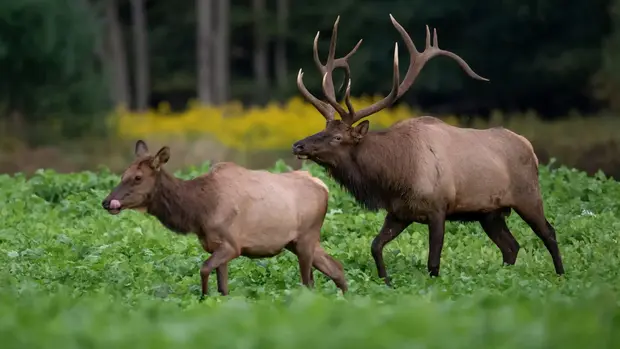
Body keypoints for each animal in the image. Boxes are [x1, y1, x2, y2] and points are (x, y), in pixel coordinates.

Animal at [99, 140, 346, 298]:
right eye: (122, 175)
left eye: (138, 177)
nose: (107, 202)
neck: (199, 211)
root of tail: (323, 186)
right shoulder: (216, 246)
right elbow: (223, 288)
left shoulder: (232, 245)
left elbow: (204, 269)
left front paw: (203, 299)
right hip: (296, 242)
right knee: (336, 268)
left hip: (306, 237)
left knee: (309, 282)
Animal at [290, 14, 568, 284]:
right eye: (324, 129)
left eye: (337, 137)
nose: (298, 144)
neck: (395, 176)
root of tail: (529, 146)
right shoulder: (399, 212)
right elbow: (375, 246)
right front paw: (386, 282)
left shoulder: (438, 209)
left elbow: (433, 264)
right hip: (490, 213)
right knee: (511, 246)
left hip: (528, 195)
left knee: (549, 233)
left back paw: (561, 276)